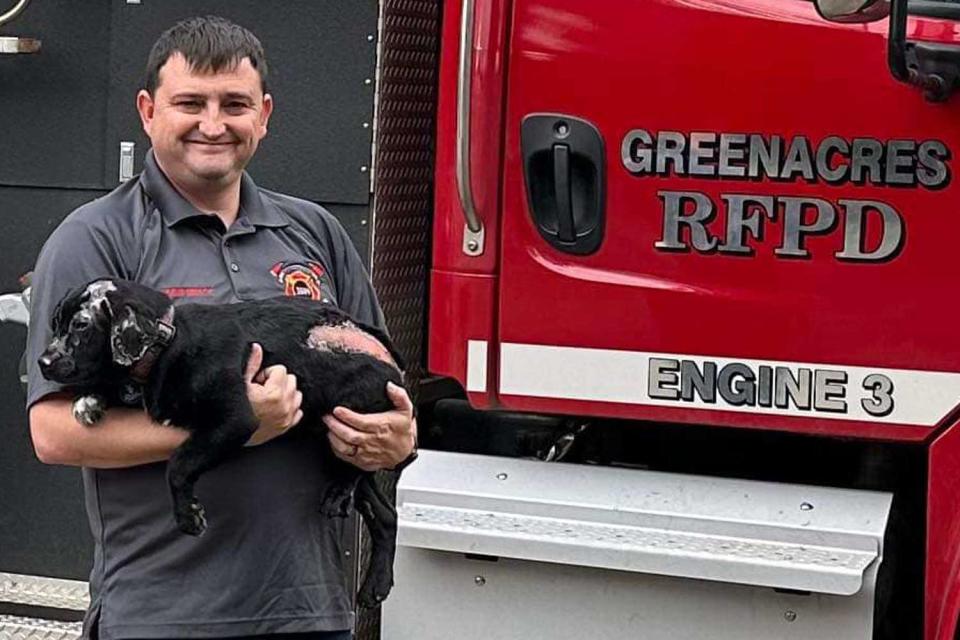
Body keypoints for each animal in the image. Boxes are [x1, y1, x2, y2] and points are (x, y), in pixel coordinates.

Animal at [39, 278, 408, 604]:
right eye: (56, 324)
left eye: (80, 326)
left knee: (358, 470)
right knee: (385, 514)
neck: (169, 342)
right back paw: (378, 584)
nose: (43, 363)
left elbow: (178, 465)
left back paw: (339, 494)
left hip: (347, 414)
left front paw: (188, 515)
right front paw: (91, 399)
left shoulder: (235, 420)